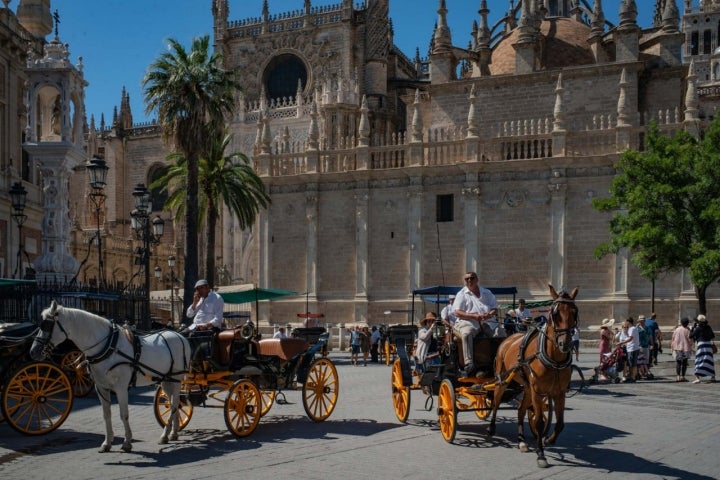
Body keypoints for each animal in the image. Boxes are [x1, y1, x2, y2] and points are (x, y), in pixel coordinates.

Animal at [29, 302, 190, 452]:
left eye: (47, 325)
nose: (33, 351)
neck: (108, 347)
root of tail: (180, 336)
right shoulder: (101, 387)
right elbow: (106, 414)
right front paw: (107, 443)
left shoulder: (121, 388)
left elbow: (124, 414)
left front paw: (127, 442)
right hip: (165, 380)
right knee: (174, 404)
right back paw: (173, 433)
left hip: (176, 380)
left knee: (175, 404)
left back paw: (165, 434)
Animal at [486, 284, 576, 468]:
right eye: (555, 314)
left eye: (575, 312)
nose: (565, 344)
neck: (554, 359)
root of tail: (509, 338)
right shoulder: (538, 390)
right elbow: (539, 421)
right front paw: (541, 454)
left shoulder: (559, 392)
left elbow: (560, 423)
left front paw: (548, 440)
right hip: (502, 381)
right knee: (496, 402)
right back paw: (491, 428)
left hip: (527, 387)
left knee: (521, 410)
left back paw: (521, 441)